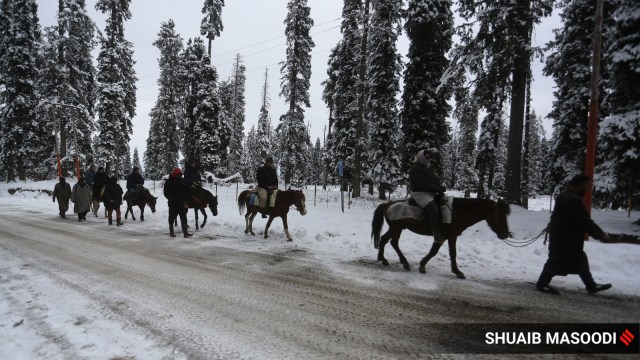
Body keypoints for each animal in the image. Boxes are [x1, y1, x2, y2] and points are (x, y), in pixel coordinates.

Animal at [370, 197, 510, 278]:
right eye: (501, 215)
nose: (505, 234)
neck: (457, 212)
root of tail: (387, 204)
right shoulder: (448, 236)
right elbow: (442, 252)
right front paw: (457, 271)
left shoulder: (448, 236)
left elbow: (441, 252)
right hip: (396, 228)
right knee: (393, 242)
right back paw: (402, 262)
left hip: (396, 228)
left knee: (386, 240)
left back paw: (384, 259)